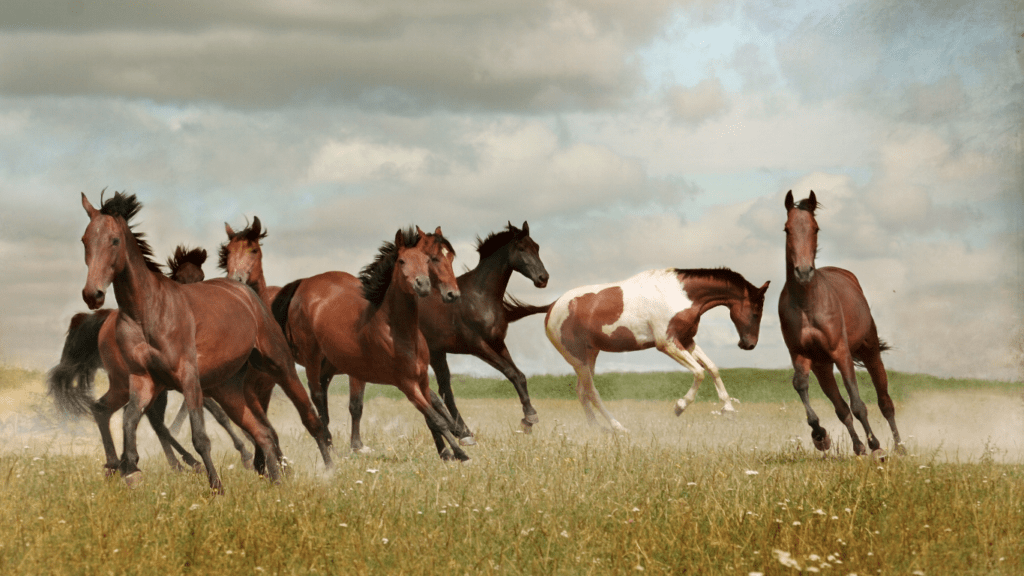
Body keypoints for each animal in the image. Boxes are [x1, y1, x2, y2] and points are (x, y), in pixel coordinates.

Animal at [46, 243, 256, 469]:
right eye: (179, 278)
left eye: (201, 277)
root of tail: (105, 321)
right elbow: (218, 413)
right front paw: (246, 452)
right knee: (151, 420)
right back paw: (182, 462)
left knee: (146, 417)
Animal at [268, 227, 468, 457]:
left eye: (430, 260)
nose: (452, 294)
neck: (398, 331)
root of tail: (304, 284)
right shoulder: (404, 382)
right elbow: (433, 417)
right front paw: (458, 449)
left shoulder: (419, 378)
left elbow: (432, 408)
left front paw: (452, 445)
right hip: (312, 359)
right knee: (317, 396)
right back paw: (328, 445)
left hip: (329, 367)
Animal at [544, 268, 770, 430]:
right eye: (756, 311)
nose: (748, 344)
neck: (680, 295)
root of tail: (552, 306)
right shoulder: (667, 344)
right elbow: (699, 372)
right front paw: (680, 407)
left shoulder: (686, 340)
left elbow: (712, 368)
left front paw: (729, 410)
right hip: (577, 359)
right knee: (592, 392)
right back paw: (618, 427)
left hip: (590, 355)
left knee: (582, 392)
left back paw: (596, 429)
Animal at [778, 190, 901, 455]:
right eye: (787, 229)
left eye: (815, 228)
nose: (803, 272)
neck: (807, 304)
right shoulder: (801, 354)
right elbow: (801, 385)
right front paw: (820, 436)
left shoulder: (840, 351)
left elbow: (858, 403)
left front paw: (876, 446)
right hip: (823, 367)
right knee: (841, 407)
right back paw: (857, 446)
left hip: (870, 352)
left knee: (885, 402)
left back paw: (899, 447)